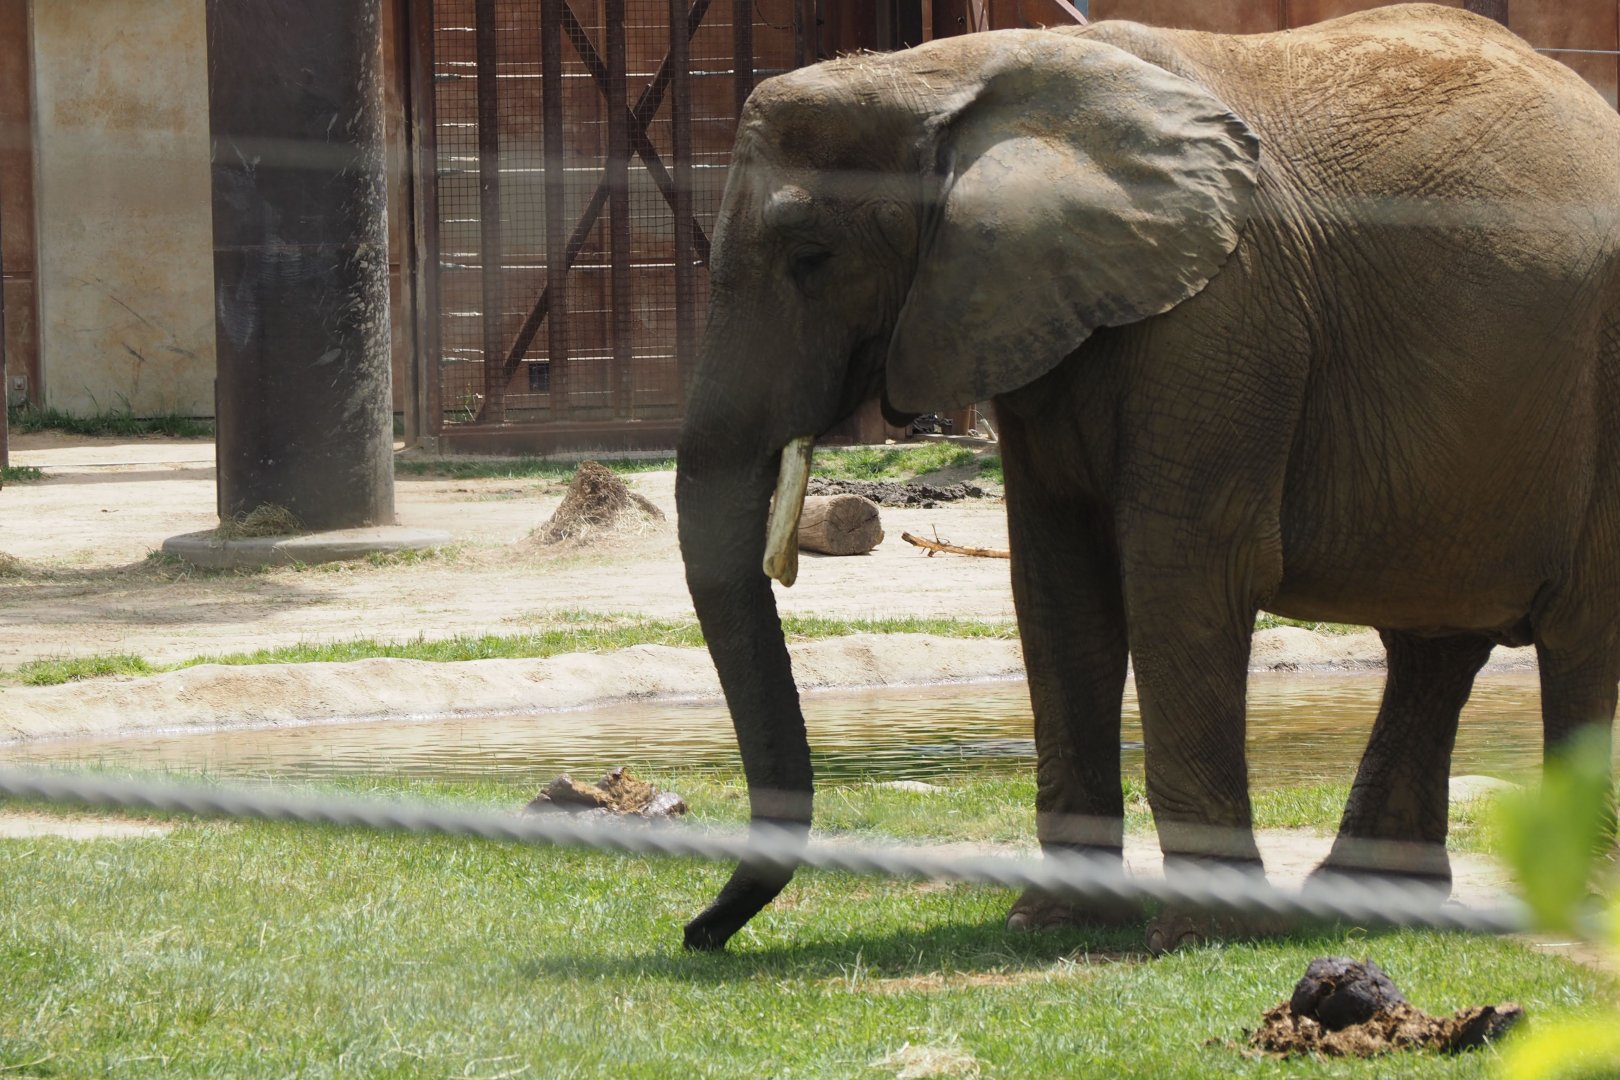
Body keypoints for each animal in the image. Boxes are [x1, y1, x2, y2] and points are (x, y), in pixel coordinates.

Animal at [673, 3, 1620, 951]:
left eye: (811, 256)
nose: (698, 933)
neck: (951, 68)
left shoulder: (1225, 312)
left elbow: (1182, 568)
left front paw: (1198, 933)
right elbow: (1058, 579)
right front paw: (1051, 923)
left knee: (1577, 637)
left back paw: (1577, 909)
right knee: (1435, 648)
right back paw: (1367, 900)